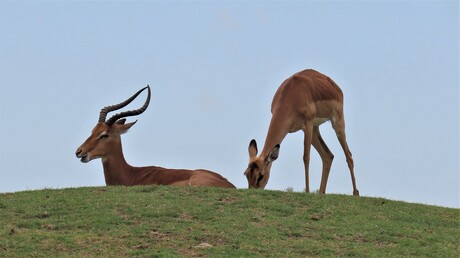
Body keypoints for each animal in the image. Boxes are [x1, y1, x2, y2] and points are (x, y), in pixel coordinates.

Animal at [244, 68, 360, 196]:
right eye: (246, 174)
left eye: (260, 176)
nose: (253, 191)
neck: (292, 94)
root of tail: (335, 87)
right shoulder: (305, 128)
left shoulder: (307, 124)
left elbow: (306, 157)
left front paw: (308, 191)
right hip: (315, 129)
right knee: (328, 156)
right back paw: (321, 192)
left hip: (337, 123)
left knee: (348, 155)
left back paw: (355, 193)